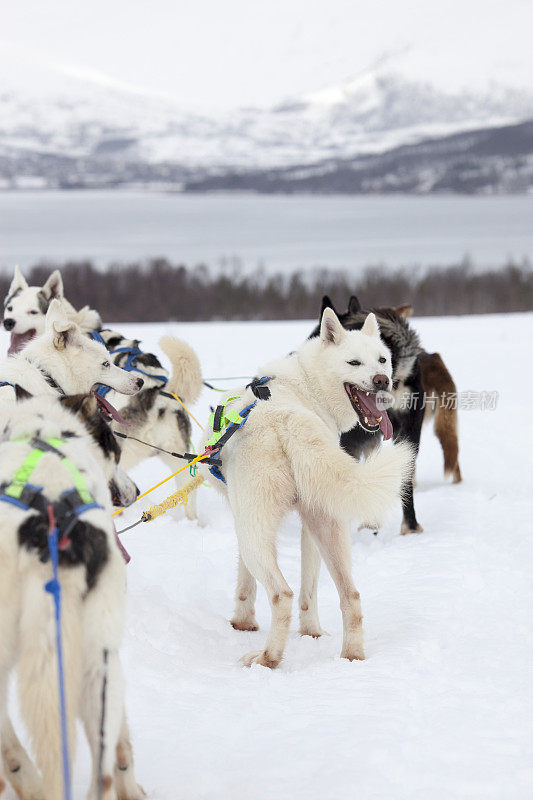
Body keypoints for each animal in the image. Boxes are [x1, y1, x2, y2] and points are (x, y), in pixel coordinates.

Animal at [203, 310, 412, 664]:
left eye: (382, 360)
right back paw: (350, 655)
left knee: (282, 593)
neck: (306, 386)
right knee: (350, 595)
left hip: (253, 531)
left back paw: (267, 658)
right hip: (327, 524)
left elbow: (245, 580)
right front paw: (309, 631)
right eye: (354, 362)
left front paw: (242, 622)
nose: (381, 380)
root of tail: (287, 418)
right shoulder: (306, 524)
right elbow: (309, 590)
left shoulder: (240, 516)